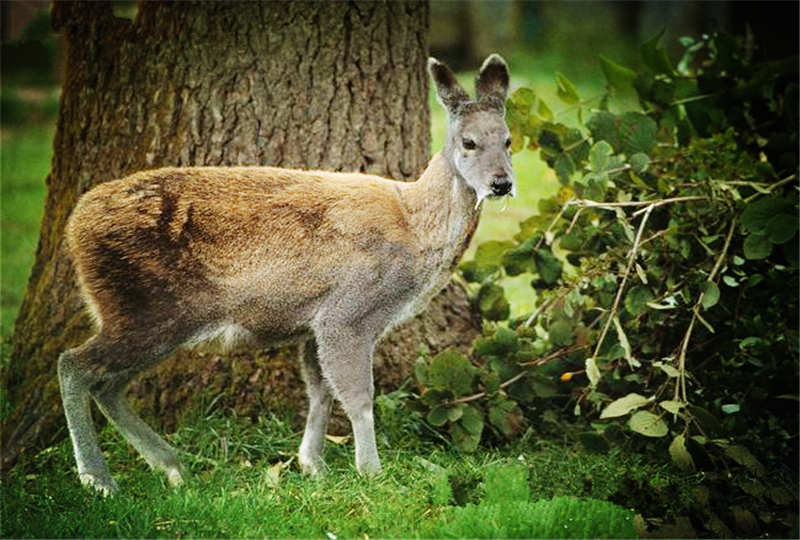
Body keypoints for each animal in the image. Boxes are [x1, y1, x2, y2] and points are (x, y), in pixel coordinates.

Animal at [59, 52, 516, 496]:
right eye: (468, 142)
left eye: (509, 141)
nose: (502, 183)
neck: (415, 228)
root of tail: (74, 226)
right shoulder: (348, 309)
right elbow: (358, 396)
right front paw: (372, 473)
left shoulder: (315, 321)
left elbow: (321, 391)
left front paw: (313, 464)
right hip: (144, 308)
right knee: (75, 366)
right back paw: (99, 479)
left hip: (150, 317)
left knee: (107, 385)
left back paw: (170, 466)